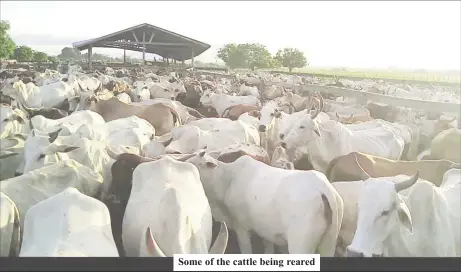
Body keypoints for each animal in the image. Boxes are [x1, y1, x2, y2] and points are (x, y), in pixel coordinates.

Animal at [184, 151, 342, 255]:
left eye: (194, 165)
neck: (227, 179)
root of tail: (322, 187)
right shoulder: (266, 230)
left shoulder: (241, 226)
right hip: (329, 242)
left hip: (300, 244)